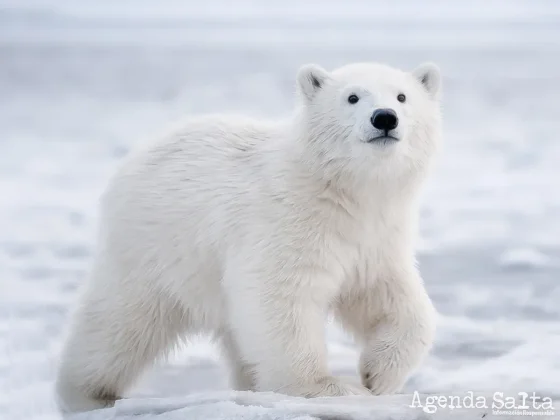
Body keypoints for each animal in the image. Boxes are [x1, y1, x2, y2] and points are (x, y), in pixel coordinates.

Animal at [55, 60, 442, 412]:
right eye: (352, 97)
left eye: (402, 96)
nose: (385, 118)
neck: (342, 192)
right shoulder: (287, 222)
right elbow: (281, 299)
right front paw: (326, 387)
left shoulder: (375, 237)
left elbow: (392, 299)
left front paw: (379, 375)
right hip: (155, 249)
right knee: (119, 323)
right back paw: (86, 392)